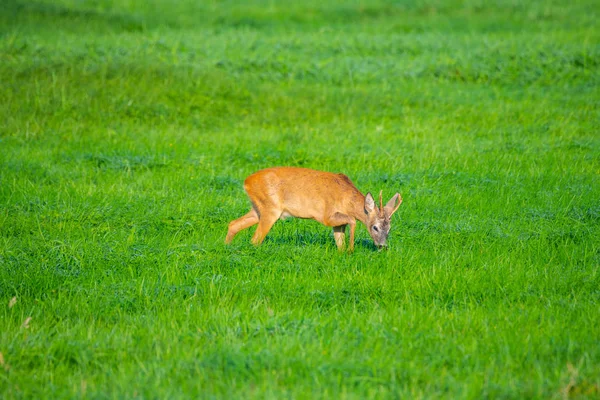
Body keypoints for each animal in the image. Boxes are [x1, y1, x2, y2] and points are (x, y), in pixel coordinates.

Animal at [225, 166, 404, 250]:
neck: (346, 199)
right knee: (255, 239)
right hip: (271, 209)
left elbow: (340, 242)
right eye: (375, 227)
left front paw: (345, 251)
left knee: (233, 224)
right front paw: (351, 250)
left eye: (389, 229)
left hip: (258, 208)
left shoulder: (338, 224)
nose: (382, 246)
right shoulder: (327, 216)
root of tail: (246, 182)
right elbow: (353, 220)